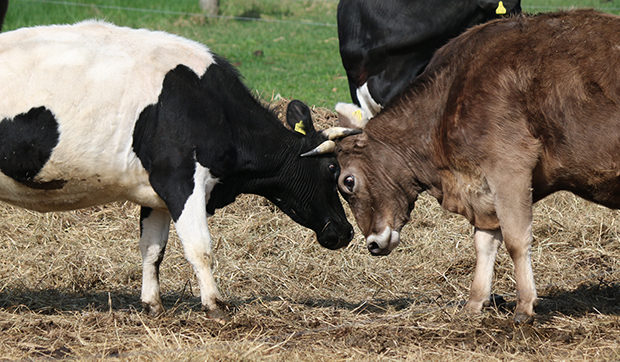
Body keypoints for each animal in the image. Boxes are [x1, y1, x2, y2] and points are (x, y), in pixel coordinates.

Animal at [0, 20, 356, 320]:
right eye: (332, 168)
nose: (346, 231)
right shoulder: (181, 179)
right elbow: (200, 247)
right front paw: (215, 305)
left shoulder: (154, 194)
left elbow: (152, 250)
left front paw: (153, 304)